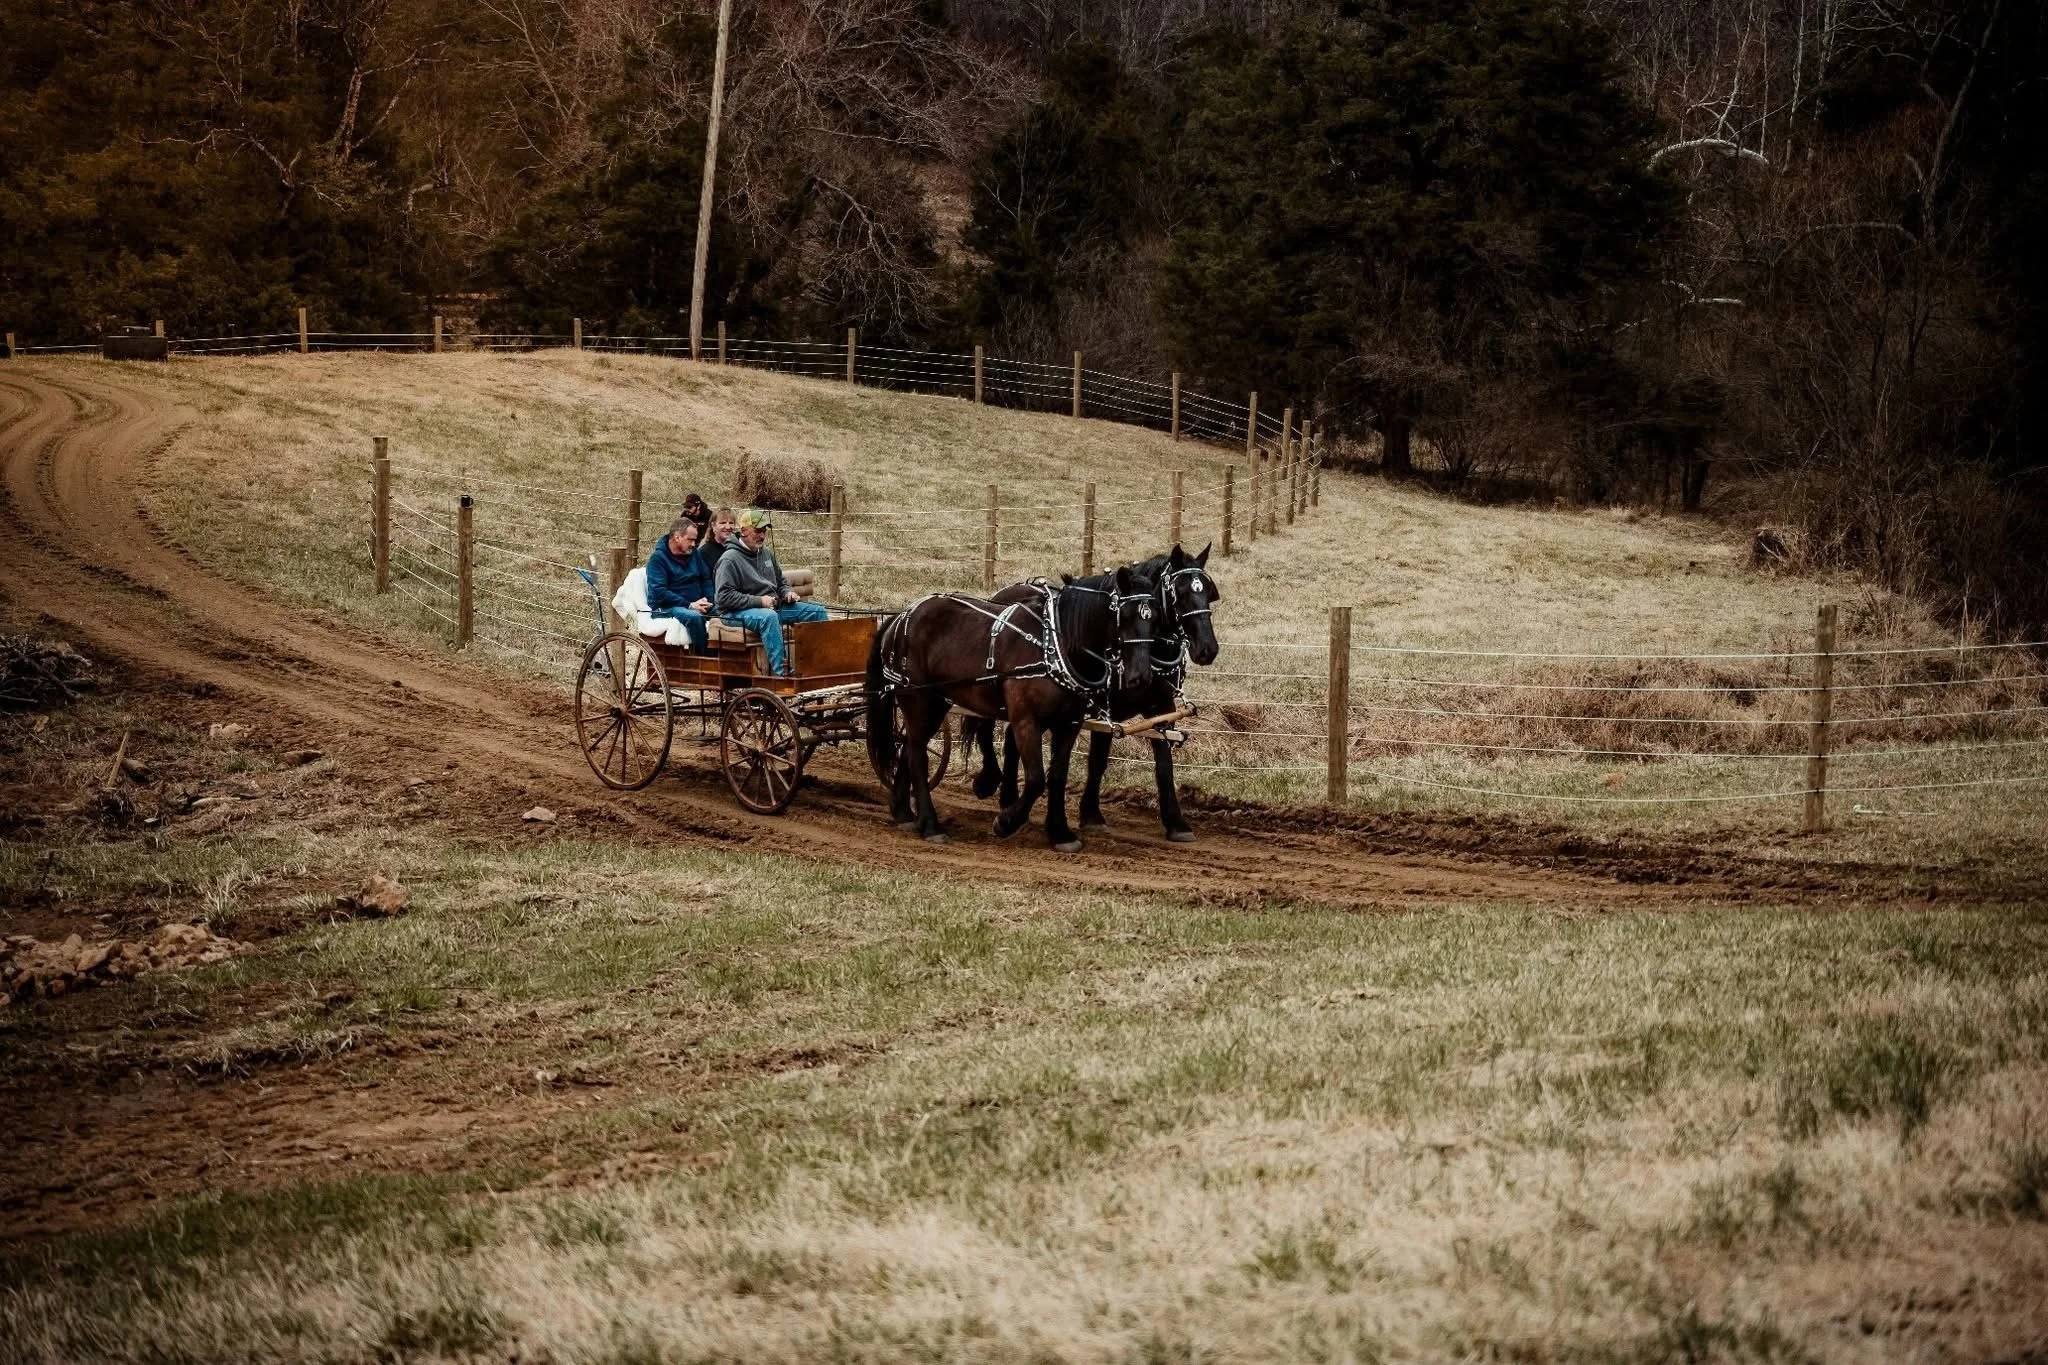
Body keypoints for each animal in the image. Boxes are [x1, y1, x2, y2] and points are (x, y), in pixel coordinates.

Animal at [863, 567, 1157, 850]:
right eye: (1124, 615)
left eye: (1153, 618)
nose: (1141, 677)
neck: (1056, 646)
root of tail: (900, 616)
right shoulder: (1025, 719)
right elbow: (1036, 778)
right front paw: (1006, 822)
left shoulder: (1069, 723)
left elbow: (1057, 777)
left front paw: (1060, 833)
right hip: (916, 697)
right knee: (918, 756)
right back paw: (931, 826)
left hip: (936, 702)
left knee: (909, 748)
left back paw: (904, 813)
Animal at [962, 544, 1222, 841]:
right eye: (1180, 592)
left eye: (1208, 592)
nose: (1208, 649)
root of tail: (1002, 593)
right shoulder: (1106, 708)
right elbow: (1098, 760)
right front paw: (1092, 815)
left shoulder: (1162, 707)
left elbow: (1164, 766)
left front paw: (1176, 823)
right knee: (984, 726)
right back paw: (989, 781)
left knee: (1010, 738)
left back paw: (1009, 798)